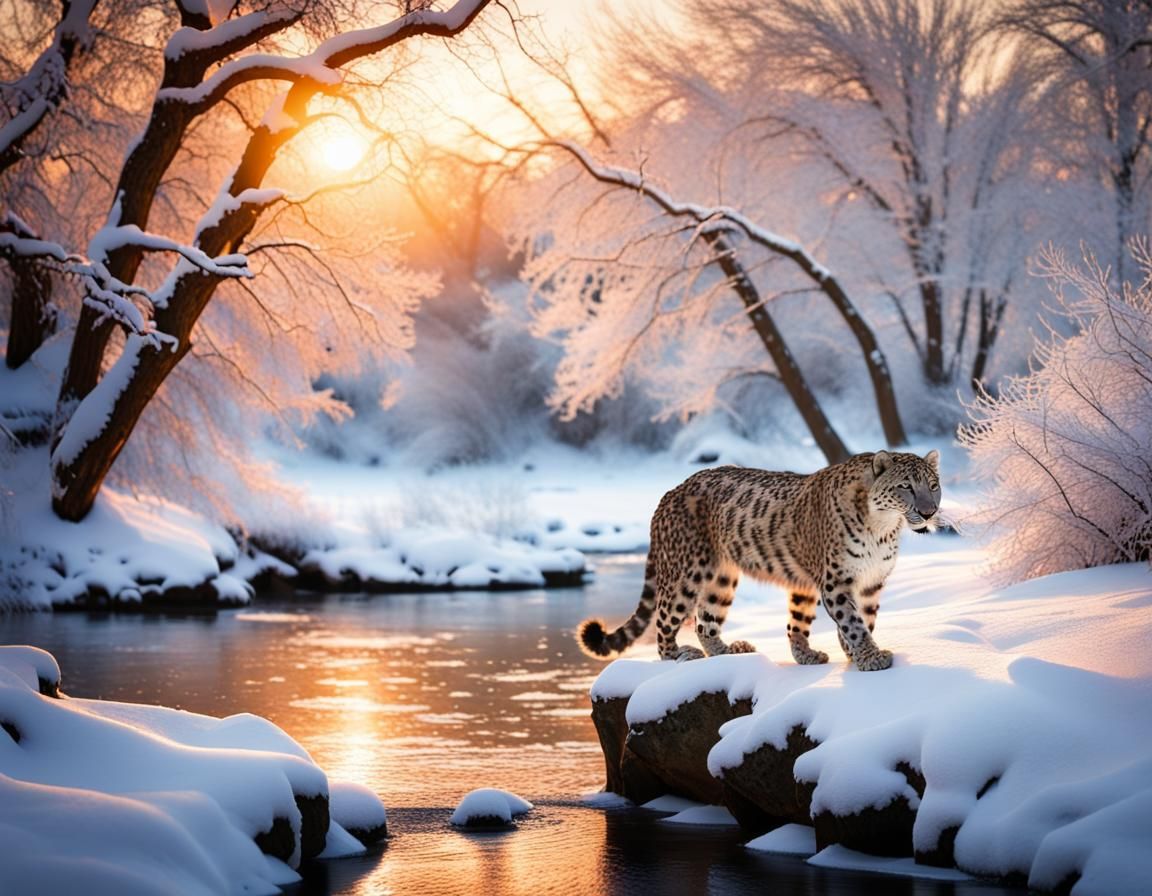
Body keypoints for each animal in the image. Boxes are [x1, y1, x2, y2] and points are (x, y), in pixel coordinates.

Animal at [577, 450, 941, 672]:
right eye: (906, 486)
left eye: (933, 485)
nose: (929, 512)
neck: (883, 529)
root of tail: (669, 493)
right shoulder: (836, 580)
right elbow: (852, 621)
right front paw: (870, 657)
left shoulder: (869, 581)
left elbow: (852, 619)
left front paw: (844, 654)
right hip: (685, 574)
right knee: (666, 621)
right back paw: (679, 656)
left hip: (721, 579)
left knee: (705, 621)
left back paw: (730, 652)